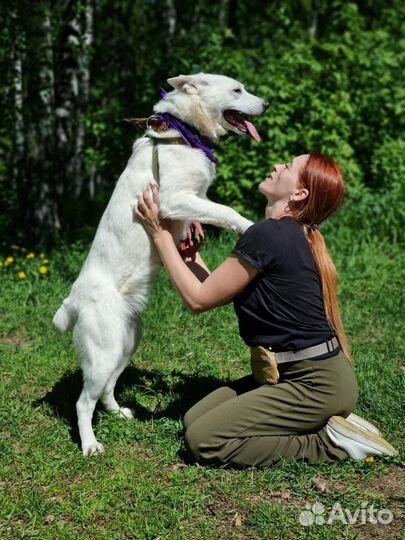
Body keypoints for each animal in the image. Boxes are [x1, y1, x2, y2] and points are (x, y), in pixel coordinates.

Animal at [53, 73, 268, 456]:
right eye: (237, 90)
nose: (267, 104)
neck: (185, 132)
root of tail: (73, 301)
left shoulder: (193, 199)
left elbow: (207, 214)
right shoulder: (174, 199)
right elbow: (225, 211)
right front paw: (249, 227)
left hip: (126, 343)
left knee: (106, 390)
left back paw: (120, 413)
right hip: (104, 352)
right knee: (83, 402)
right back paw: (90, 444)